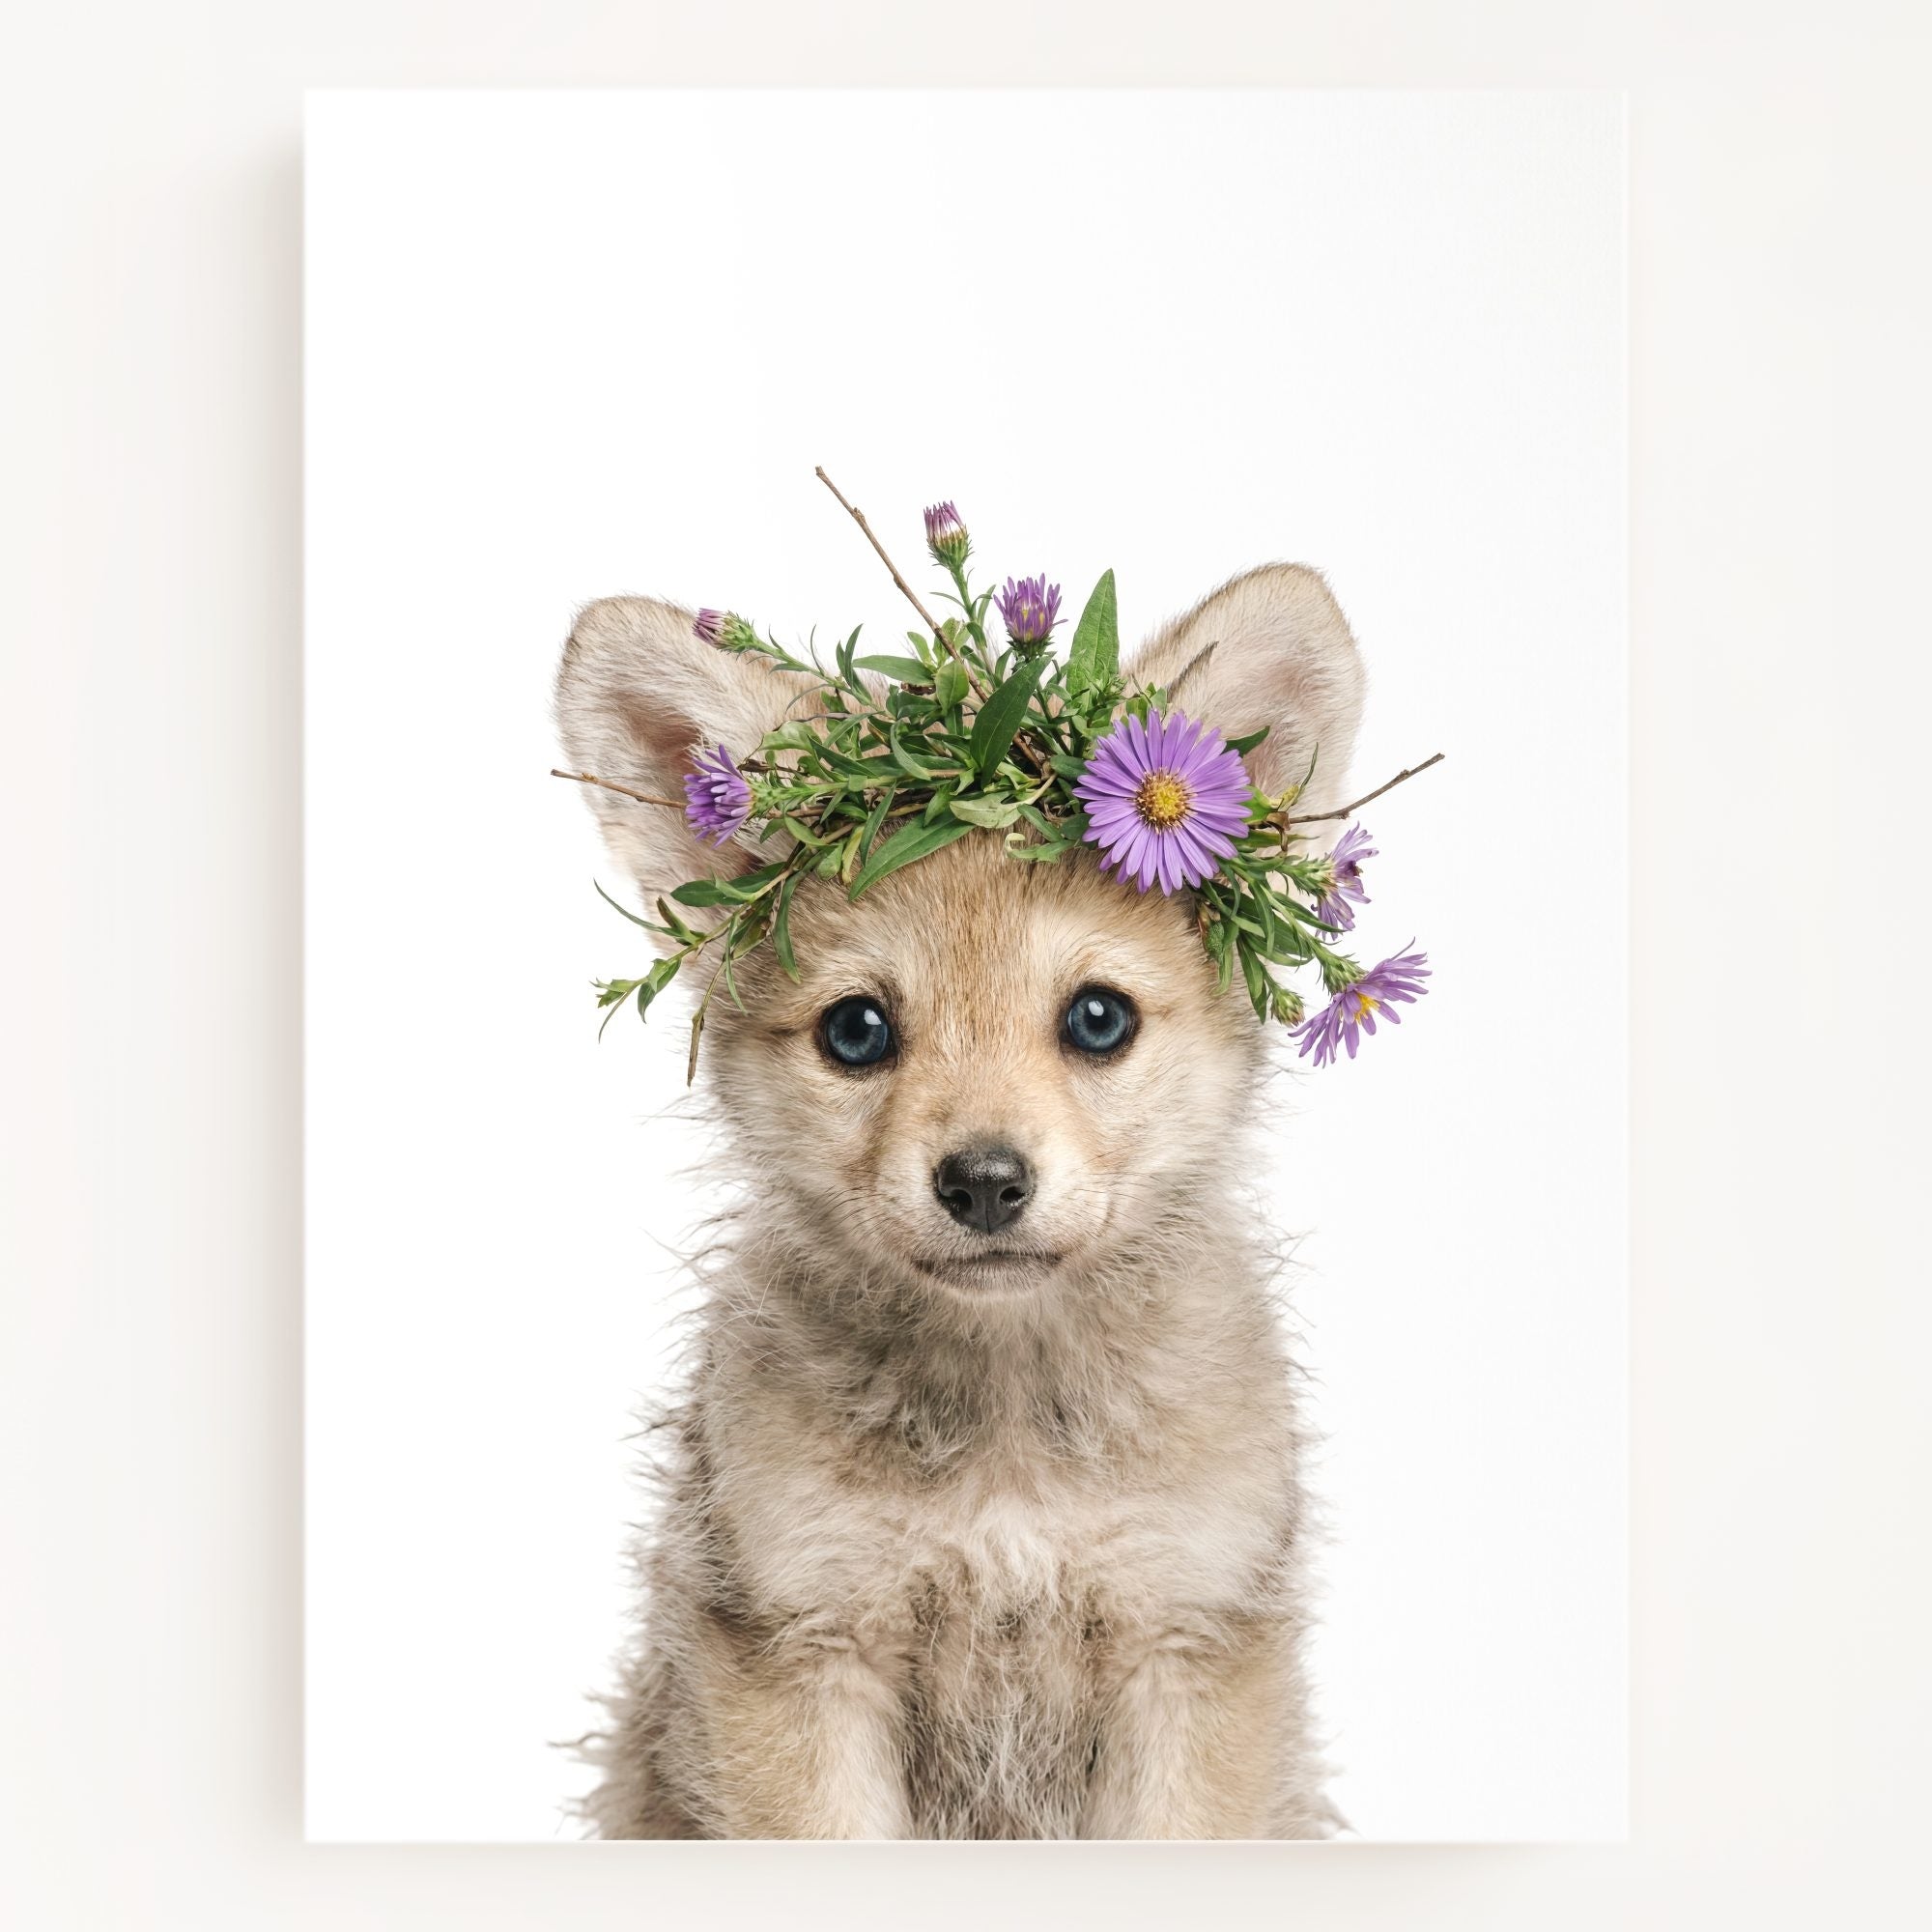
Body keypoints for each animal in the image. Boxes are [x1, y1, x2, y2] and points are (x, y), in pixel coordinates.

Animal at [554, 562, 1365, 1838]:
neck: (1007, 1433)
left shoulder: (1185, 1640)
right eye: (855, 1029)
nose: (983, 1181)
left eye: (1097, 1017)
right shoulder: (802, 1644)